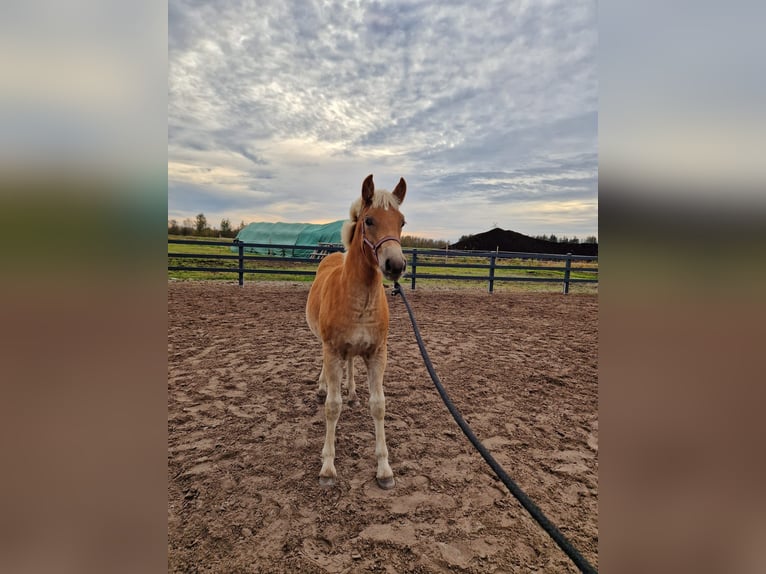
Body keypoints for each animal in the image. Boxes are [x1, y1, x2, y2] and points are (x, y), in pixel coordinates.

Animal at [306, 176, 408, 490]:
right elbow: (332, 407)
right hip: (326, 345)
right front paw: (327, 467)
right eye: (370, 220)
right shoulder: (332, 350)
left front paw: (384, 469)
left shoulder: (377, 354)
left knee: (350, 365)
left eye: (402, 222)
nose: (395, 265)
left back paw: (351, 392)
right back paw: (323, 386)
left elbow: (379, 406)